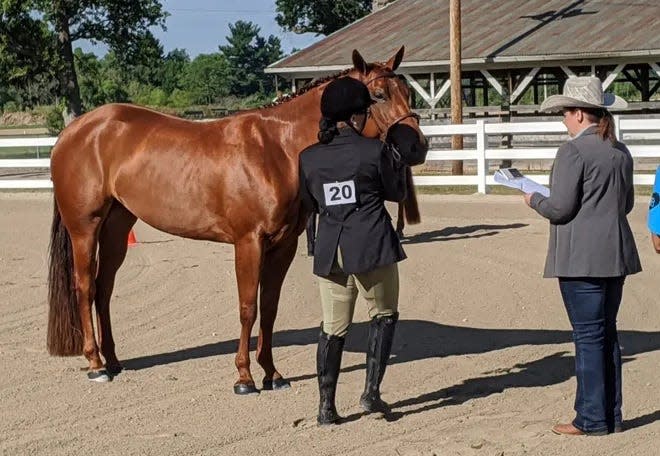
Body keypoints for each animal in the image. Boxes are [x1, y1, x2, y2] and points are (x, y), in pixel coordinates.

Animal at [46, 48, 428, 394]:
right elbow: (248, 307)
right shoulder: (248, 242)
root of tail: (74, 131)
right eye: (378, 95)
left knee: (104, 289)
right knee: (85, 287)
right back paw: (96, 364)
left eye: (407, 92)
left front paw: (272, 374)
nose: (416, 147)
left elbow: (269, 307)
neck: (276, 150)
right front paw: (244, 377)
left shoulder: (283, 246)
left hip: (117, 226)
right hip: (85, 228)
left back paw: (113, 361)